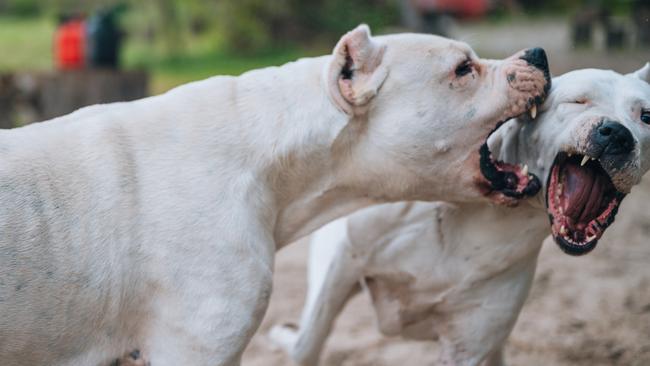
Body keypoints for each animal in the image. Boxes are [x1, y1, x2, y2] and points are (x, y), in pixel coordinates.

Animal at [268, 63, 648, 366]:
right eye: (578, 101)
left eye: (645, 116)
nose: (616, 133)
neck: (488, 212)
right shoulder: (344, 262)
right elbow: (309, 342)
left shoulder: (468, 346)